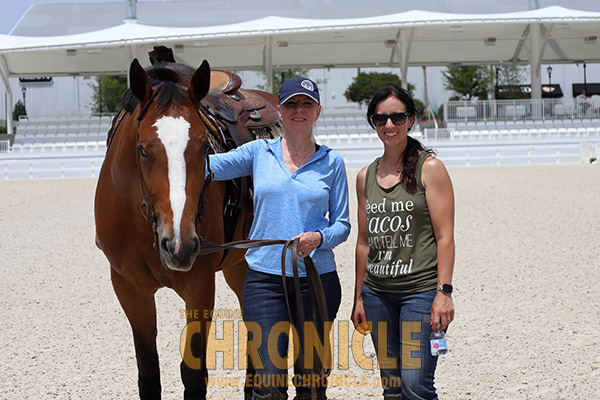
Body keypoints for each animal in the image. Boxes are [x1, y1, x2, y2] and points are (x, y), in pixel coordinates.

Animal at [94, 47, 282, 400]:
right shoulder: (128, 288)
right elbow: (148, 373)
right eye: (142, 150)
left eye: (205, 147)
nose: (179, 245)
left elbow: (193, 375)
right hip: (240, 265)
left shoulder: (199, 285)